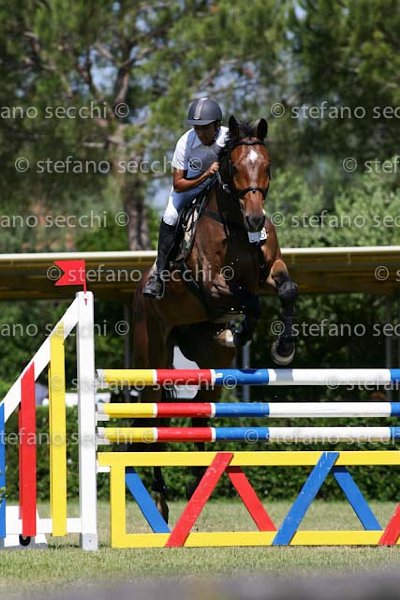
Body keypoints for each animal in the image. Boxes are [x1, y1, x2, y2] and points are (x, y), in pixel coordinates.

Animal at [133, 115, 298, 520]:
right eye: (234, 168)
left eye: (266, 165)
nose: (255, 218)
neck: (235, 224)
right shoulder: (214, 286)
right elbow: (251, 303)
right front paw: (241, 332)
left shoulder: (271, 271)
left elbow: (286, 290)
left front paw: (284, 347)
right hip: (153, 358)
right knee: (156, 422)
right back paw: (160, 501)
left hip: (209, 368)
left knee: (199, 419)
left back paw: (196, 486)